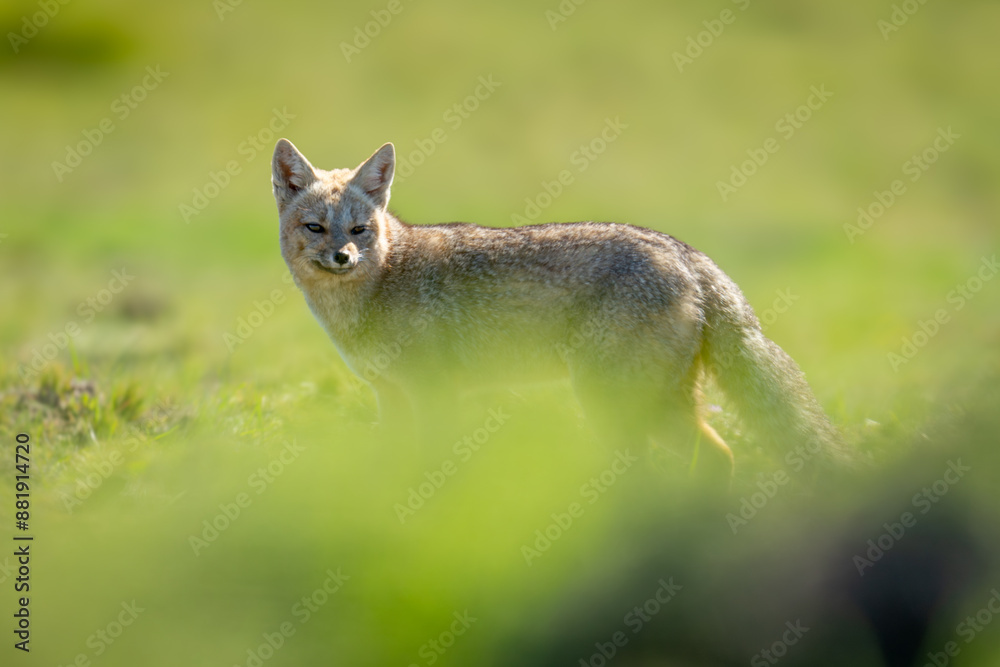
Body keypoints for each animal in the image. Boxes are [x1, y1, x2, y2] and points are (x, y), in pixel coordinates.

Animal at [271, 139, 845, 481]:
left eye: (359, 229)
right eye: (316, 228)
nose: (343, 257)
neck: (381, 284)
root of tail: (684, 251)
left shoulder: (435, 394)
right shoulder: (390, 397)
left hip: (613, 402)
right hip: (657, 405)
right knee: (719, 459)